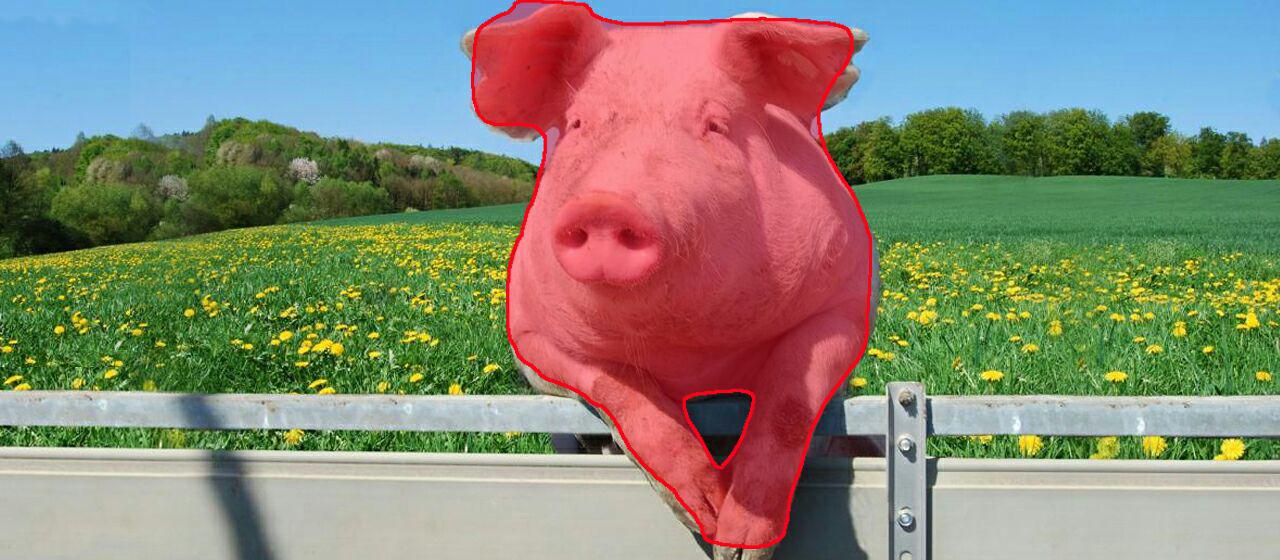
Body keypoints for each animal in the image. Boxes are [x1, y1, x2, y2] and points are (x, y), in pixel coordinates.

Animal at [464, 2, 877, 557]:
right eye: (576, 123)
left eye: (716, 125)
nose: (606, 204)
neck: (693, 358)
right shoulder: (532, 339)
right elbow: (623, 392)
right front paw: (703, 518)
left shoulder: (846, 298)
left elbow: (791, 398)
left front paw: (738, 545)